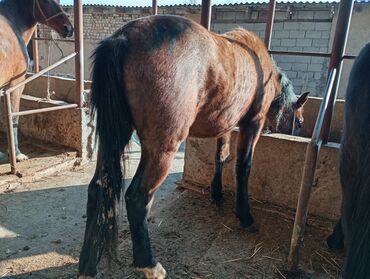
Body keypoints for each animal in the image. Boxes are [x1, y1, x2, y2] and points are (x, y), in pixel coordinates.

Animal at [79, 15, 310, 279]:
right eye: (300, 122)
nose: (298, 131)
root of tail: (123, 37)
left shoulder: (225, 125)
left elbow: (221, 156)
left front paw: (216, 194)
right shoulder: (252, 124)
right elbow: (243, 167)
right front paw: (245, 216)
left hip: (115, 137)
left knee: (98, 188)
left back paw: (87, 267)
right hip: (162, 149)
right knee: (137, 197)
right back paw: (150, 264)